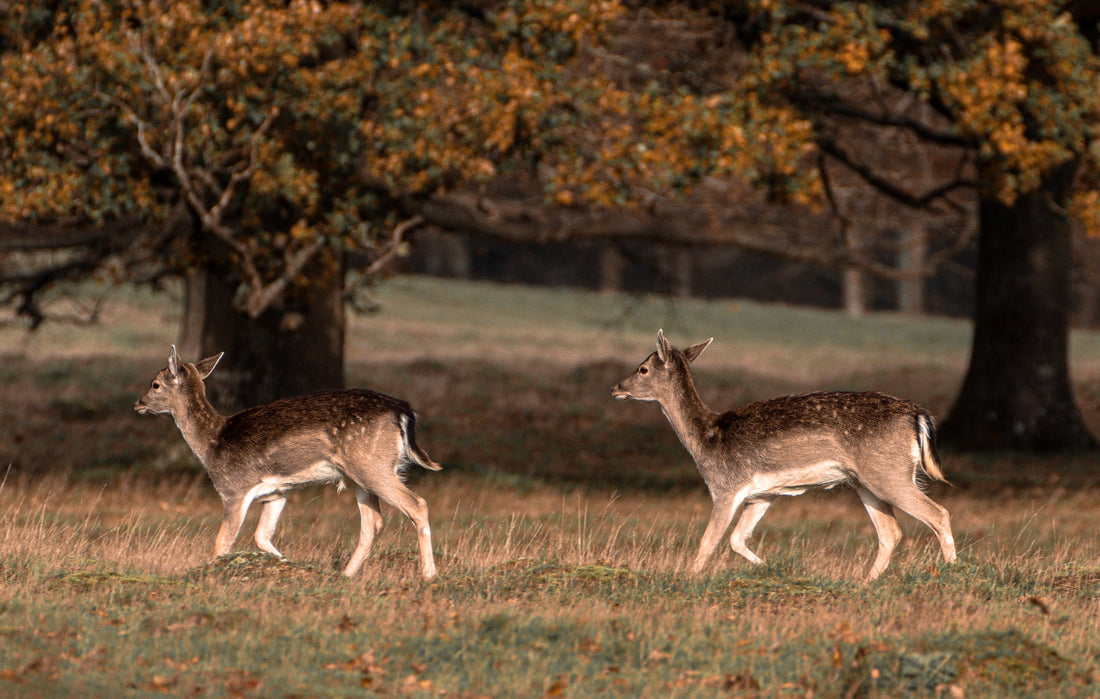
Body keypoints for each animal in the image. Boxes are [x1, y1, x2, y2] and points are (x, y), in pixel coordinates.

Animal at [134, 346, 441, 580]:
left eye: (155, 384)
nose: (138, 403)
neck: (212, 443)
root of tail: (403, 411)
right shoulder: (277, 493)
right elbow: (262, 536)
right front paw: (289, 565)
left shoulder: (234, 489)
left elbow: (223, 541)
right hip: (359, 475)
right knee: (372, 523)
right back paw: (345, 575)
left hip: (373, 465)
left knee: (417, 505)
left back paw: (429, 574)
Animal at [612, 330, 956, 581]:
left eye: (642, 368)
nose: (616, 388)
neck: (706, 439)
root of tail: (918, 414)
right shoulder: (763, 495)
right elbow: (738, 539)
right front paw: (771, 569)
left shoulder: (726, 487)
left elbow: (708, 541)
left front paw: (687, 579)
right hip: (865, 481)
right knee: (890, 532)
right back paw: (865, 582)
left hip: (889, 473)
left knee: (938, 514)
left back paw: (951, 572)